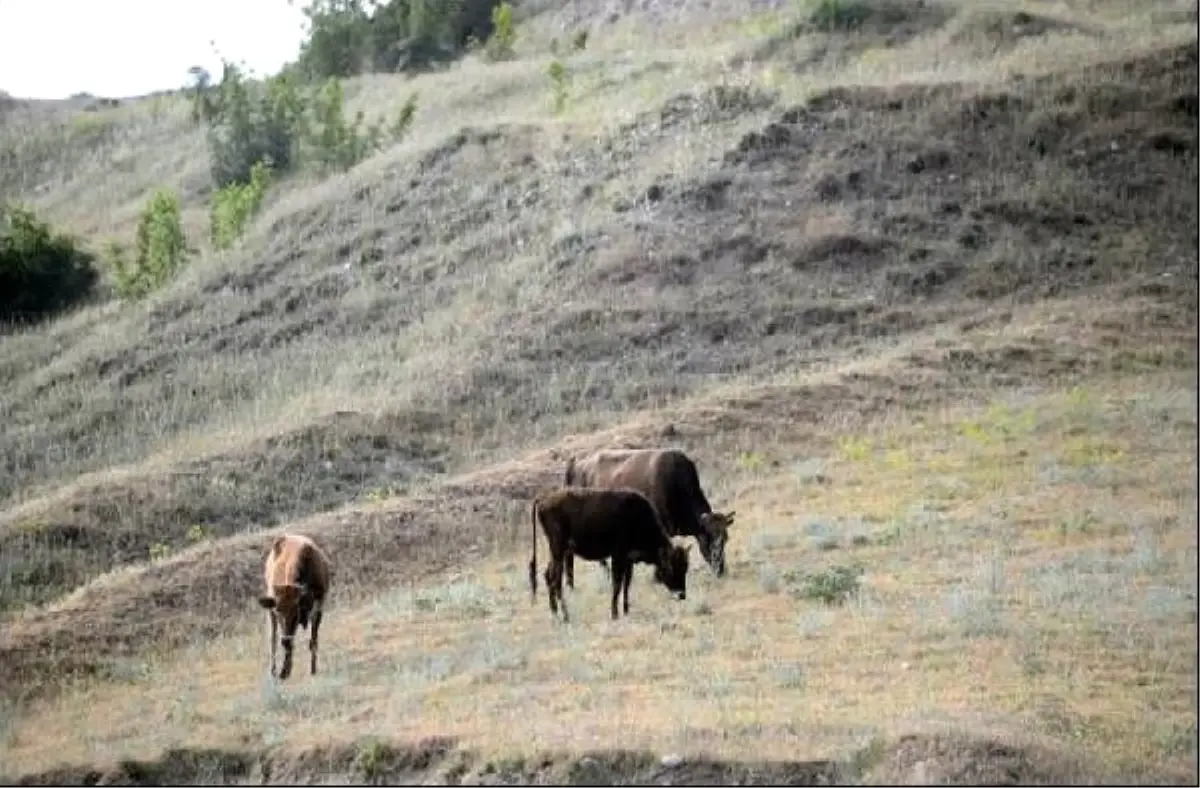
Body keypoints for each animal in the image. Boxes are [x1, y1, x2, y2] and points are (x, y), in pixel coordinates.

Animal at [256, 532, 331, 681]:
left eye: (296, 612)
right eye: (279, 611)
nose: (285, 639)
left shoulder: (319, 605)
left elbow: (313, 640)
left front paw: (312, 669)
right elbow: (287, 643)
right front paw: (284, 672)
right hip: (270, 612)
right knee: (273, 638)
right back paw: (274, 670)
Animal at [528, 484, 691, 618]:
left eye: (685, 567)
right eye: (670, 567)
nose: (681, 595)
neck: (638, 517)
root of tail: (544, 498)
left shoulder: (628, 560)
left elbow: (626, 584)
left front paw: (626, 611)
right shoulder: (618, 556)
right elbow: (617, 584)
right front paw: (614, 614)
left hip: (557, 552)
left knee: (548, 575)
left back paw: (555, 613)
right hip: (558, 550)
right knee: (555, 580)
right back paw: (565, 616)